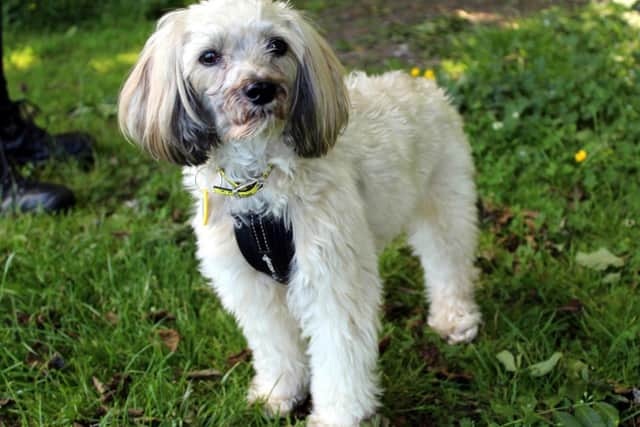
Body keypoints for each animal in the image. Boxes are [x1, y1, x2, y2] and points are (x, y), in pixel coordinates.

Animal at [119, 1, 480, 426]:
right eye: (209, 56)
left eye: (277, 45)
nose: (260, 88)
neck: (257, 183)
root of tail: (421, 83)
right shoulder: (250, 287)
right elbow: (275, 344)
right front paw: (280, 392)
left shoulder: (331, 280)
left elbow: (340, 359)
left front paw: (337, 415)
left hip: (445, 201)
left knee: (448, 264)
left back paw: (454, 318)